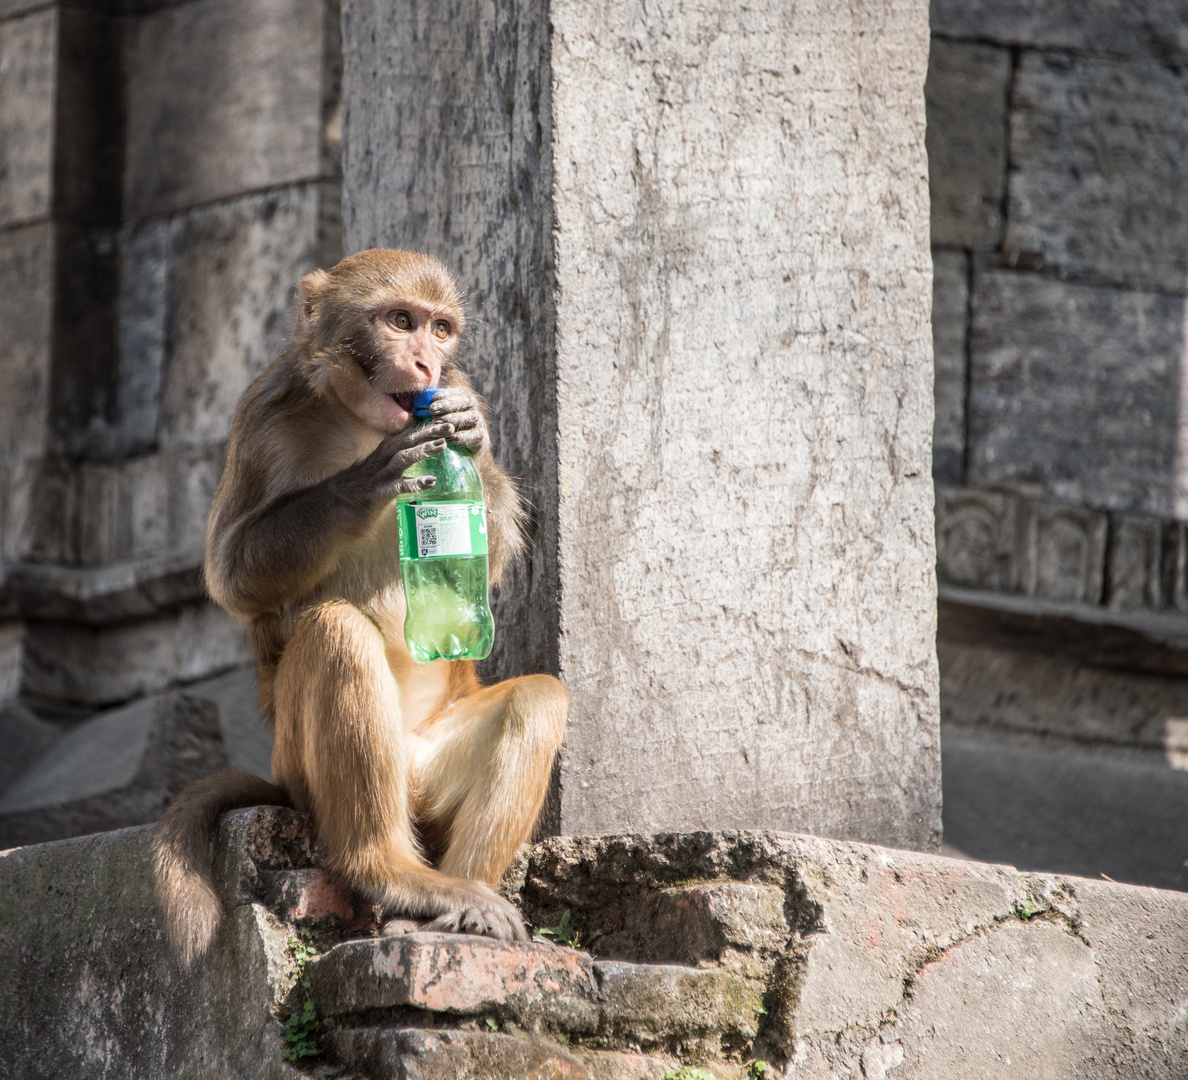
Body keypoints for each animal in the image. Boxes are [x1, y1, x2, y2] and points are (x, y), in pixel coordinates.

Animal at [153, 248, 570, 964]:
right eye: (400, 321)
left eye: (440, 329)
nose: (427, 364)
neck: (361, 422)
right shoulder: (259, 416)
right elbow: (231, 574)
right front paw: (362, 485)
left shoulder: (463, 386)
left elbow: (497, 549)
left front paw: (470, 434)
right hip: (304, 769)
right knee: (336, 632)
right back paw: (388, 872)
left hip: (430, 768)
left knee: (537, 698)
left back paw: (455, 906)